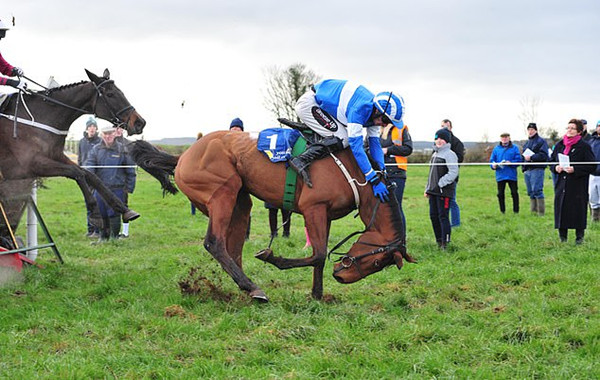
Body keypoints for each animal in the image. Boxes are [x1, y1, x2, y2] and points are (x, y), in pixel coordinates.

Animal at [0, 68, 145, 223]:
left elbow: (89, 175)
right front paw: (94, 212)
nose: (140, 123)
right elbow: (76, 172)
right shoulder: (30, 165)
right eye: (110, 94)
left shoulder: (57, 156)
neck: (39, 118)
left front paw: (123, 209)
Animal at [131, 132, 412, 302]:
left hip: (240, 202)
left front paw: (317, 295)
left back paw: (244, 288)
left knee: (232, 248)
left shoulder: (326, 215)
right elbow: (319, 254)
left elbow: (319, 257)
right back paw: (252, 287)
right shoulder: (314, 208)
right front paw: (272, 257)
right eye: (377, 261)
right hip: (223, 193)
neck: (357, 174)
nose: (341, 277)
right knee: (215, 243)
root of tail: (182, 157)